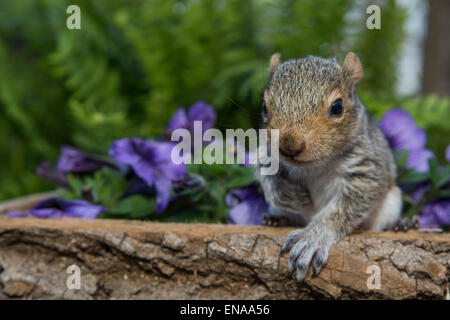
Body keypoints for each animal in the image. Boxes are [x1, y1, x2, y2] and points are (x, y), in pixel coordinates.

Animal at [256, 52, 418, 282]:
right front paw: (284, 192)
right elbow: (265, 171)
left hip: (391, 203)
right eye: (264, 106)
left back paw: (403, 225)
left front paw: (312, 238)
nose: (290, 146)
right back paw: (277, 219)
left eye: (337, 106)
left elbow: (342, 210)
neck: (315, 165)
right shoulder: (268, 152)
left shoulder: (366, 169)